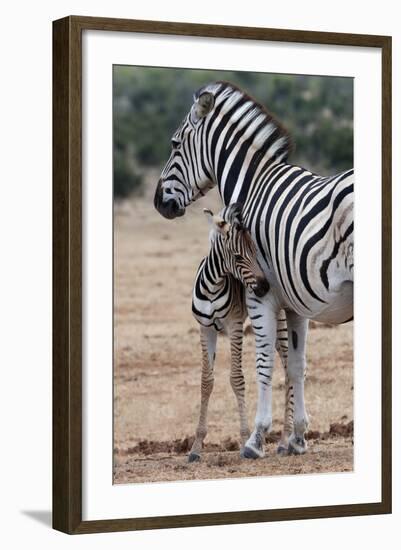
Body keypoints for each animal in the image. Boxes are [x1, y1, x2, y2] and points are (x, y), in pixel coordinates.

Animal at [188, 205, 268, 464]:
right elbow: (206, 381)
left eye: (255, 251)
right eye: (238, 257)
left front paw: (245, 440)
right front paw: (196, 447)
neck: (212, 287)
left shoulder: (234, 325)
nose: (265, 288)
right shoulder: (205, 328)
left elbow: (237, 378)